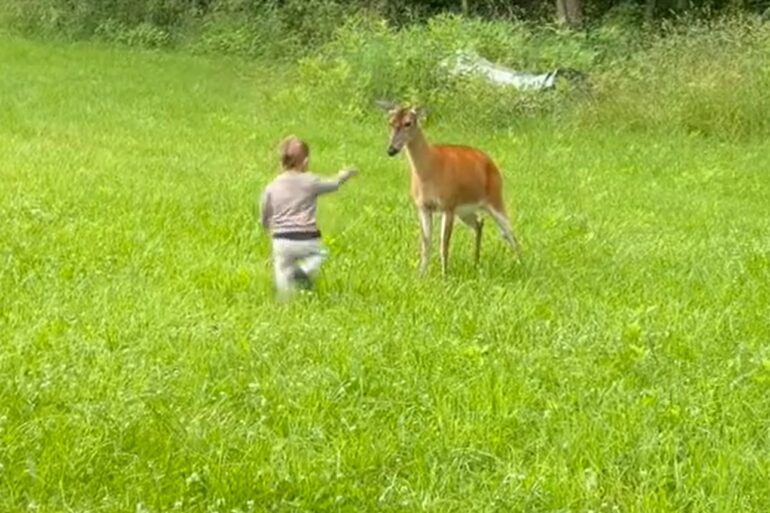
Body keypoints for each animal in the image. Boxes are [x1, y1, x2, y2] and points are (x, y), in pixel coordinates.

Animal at [376, 101, 521, 276]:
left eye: (408, 123)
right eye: (390, 122)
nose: (391, 150)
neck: (430, 169)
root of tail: (491, 163)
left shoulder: (448, 205)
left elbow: (443, 245)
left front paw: (444, 275)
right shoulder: (423, 207)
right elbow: (426, 244)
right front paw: (421, 275)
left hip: (495, 198)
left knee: (510, 232)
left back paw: (521, 264)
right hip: (465, 210)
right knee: (479, 223)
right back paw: (476, 263)